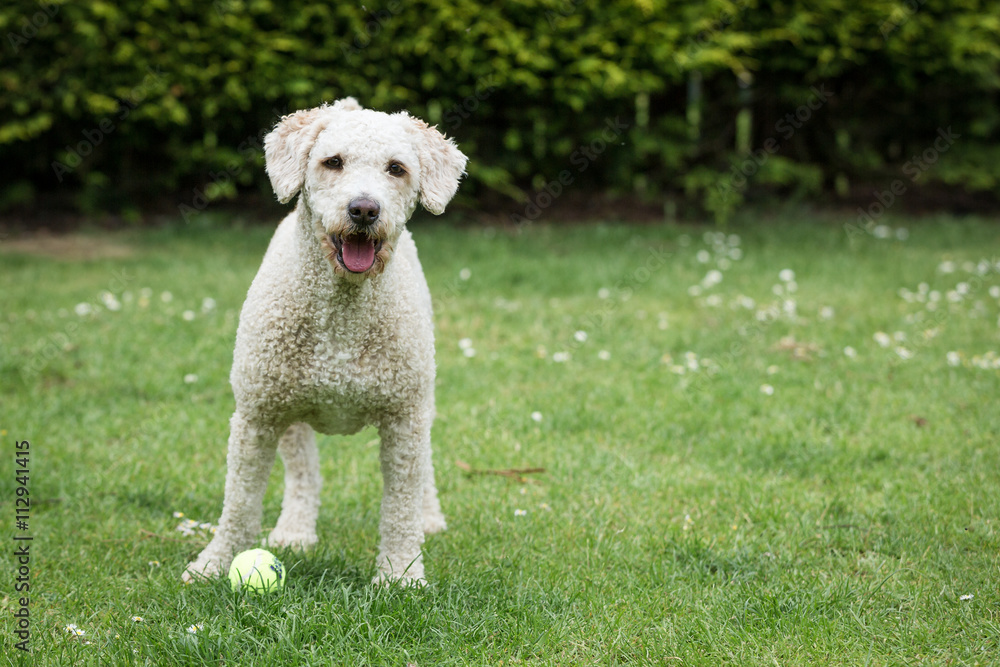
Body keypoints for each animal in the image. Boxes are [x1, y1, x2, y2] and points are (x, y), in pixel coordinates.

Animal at [185, 96, 468, 588]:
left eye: (396, 168)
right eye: (332, 162)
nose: (364, 210)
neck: (341, 314)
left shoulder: (403, 419)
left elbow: (400, 508)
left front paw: (401, 575)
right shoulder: (256, 417)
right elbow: (239, 502)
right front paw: (214, 563)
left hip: (422, 400)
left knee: (424, 470)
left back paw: (429, 517)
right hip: (288, 409)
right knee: (303, 473)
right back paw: (295, 530)